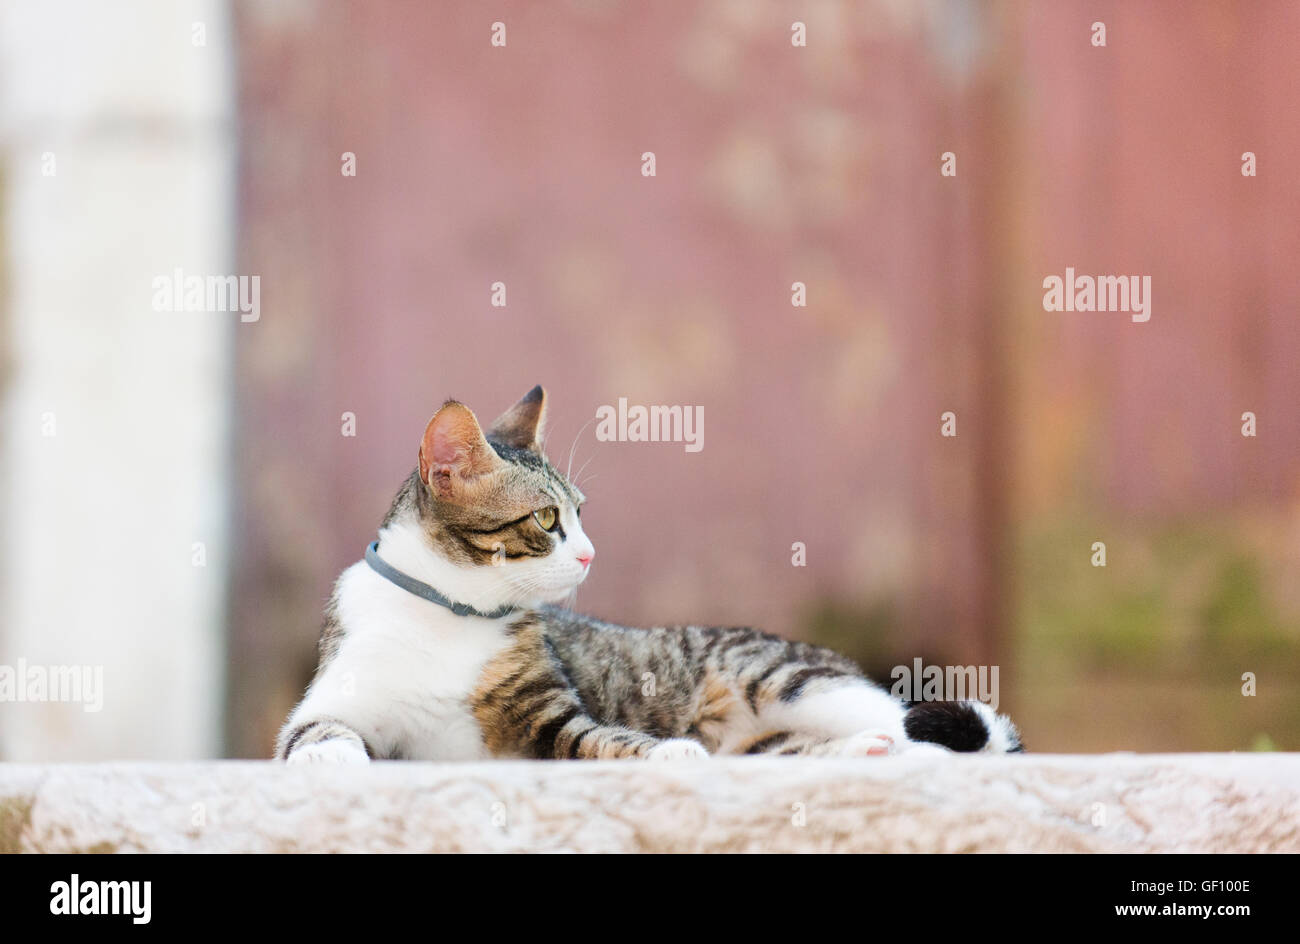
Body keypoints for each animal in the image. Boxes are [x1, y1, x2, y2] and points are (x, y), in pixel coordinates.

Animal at [279, 387, 1019, 764]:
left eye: (580, 514)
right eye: (547, 519)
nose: (589, 554)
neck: (449, 612)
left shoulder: (551, 719)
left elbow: (603, 738)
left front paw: (667, 753)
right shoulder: (329, 702)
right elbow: (318, 735)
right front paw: (333, 760)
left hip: (790, 680)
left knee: (941, 731)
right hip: (776, 741)